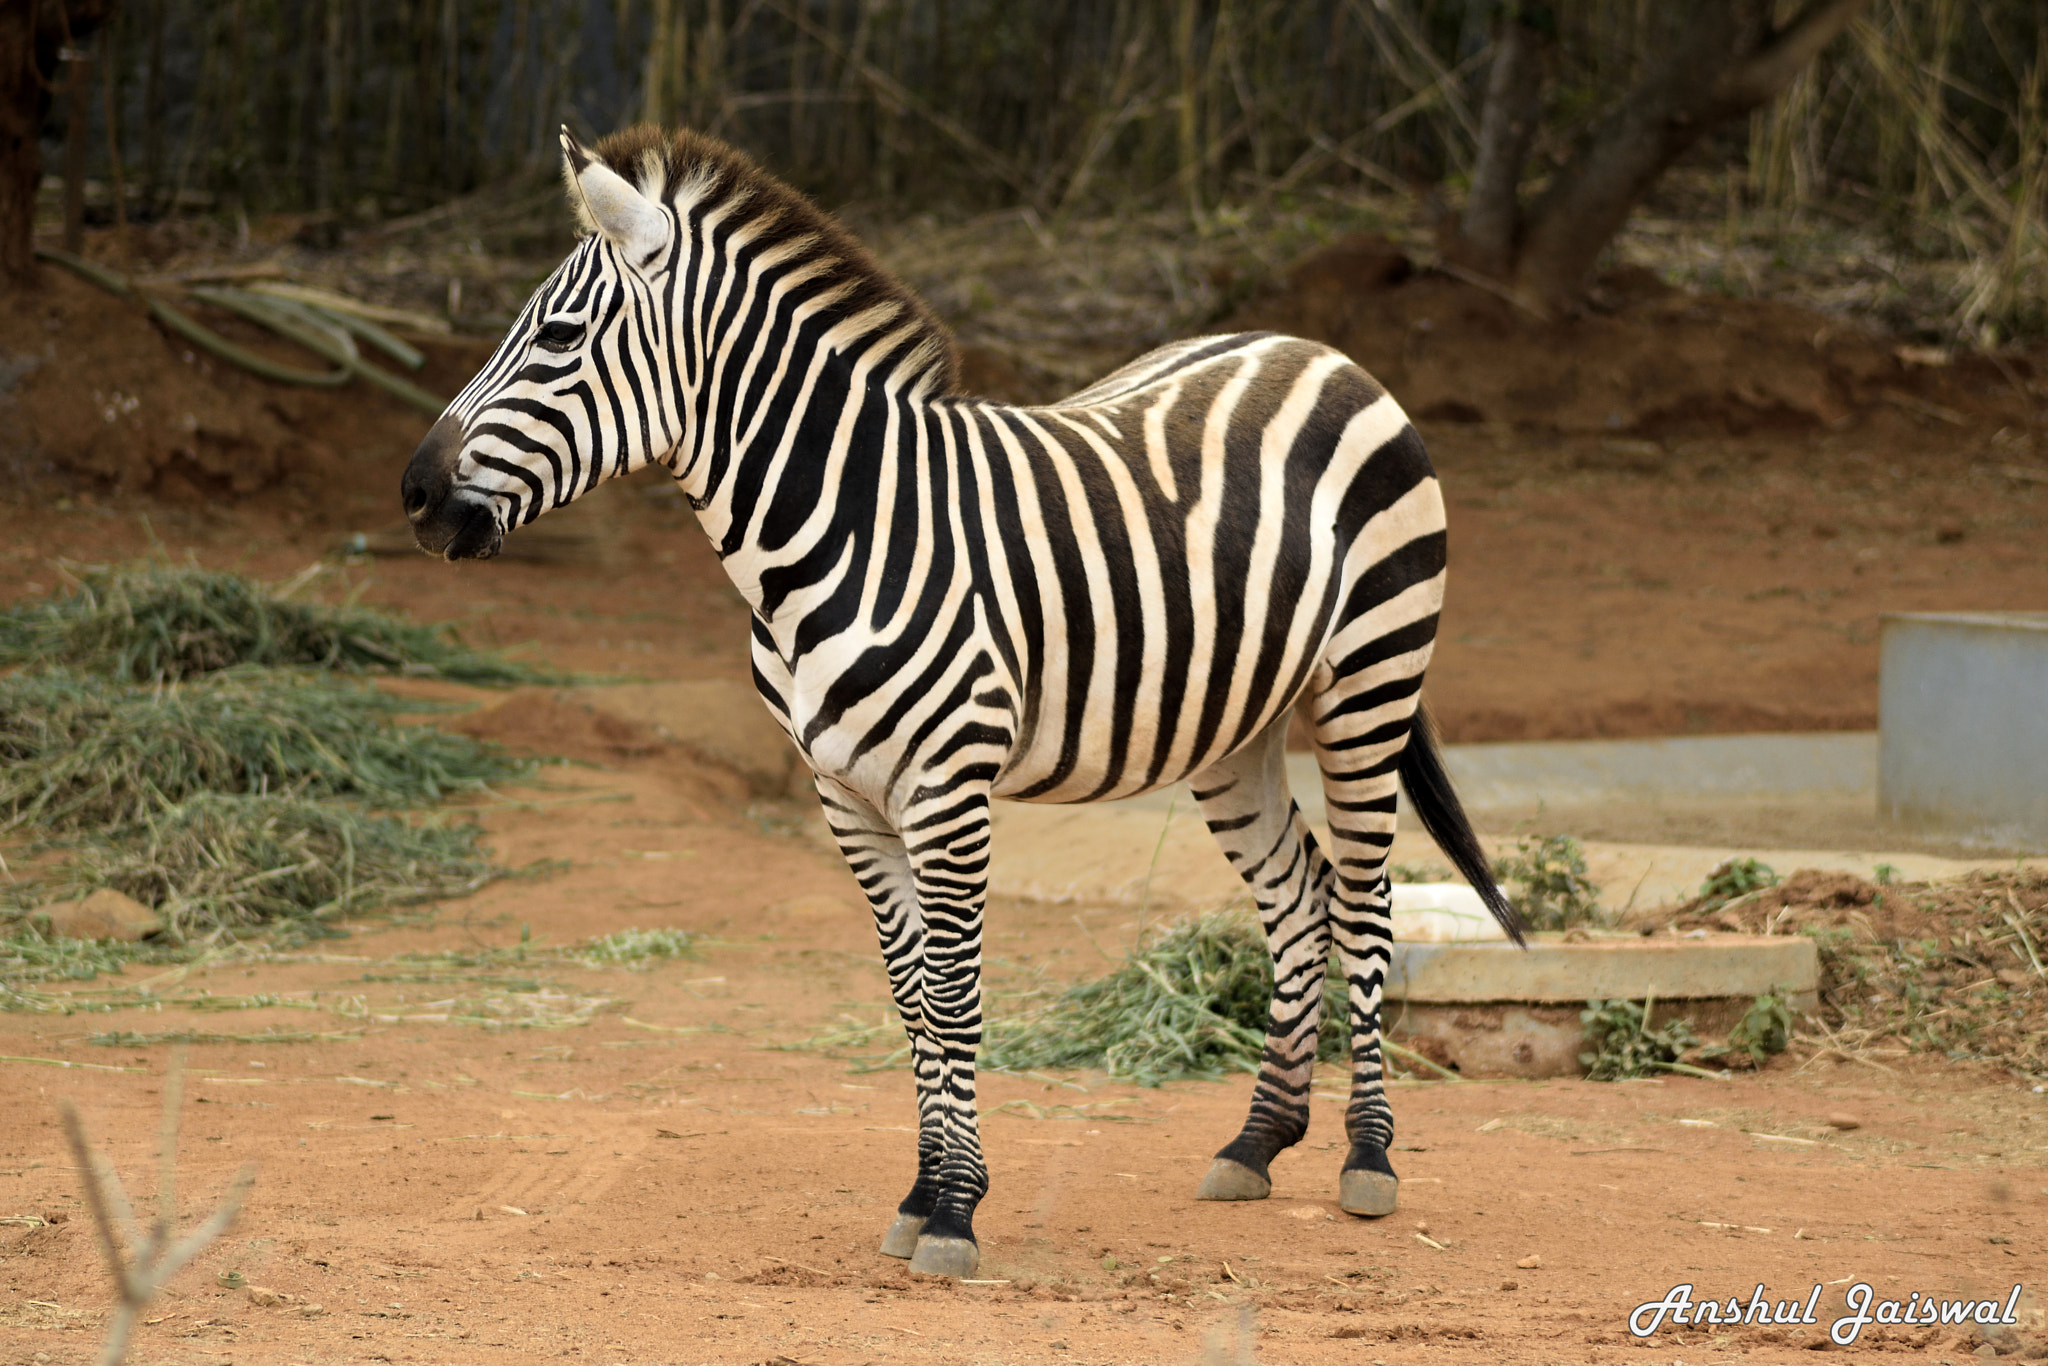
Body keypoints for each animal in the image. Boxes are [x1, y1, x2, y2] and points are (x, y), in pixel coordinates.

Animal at [401, 124, 1523, 1279]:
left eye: (558, 335)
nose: (413, 493)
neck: (841, 530)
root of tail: (1316, 349)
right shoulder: (844, 796)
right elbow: (908, 996)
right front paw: (920, 1194)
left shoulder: (949, 788)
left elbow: (952, 992)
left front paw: (954, 1211)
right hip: (1232, 722)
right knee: (1298, 893)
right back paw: (1257, 1140)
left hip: (1370, 678)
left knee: (1364, 897)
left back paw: (1368, 1158)